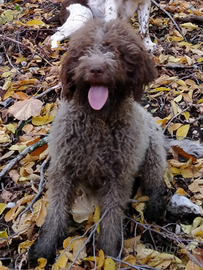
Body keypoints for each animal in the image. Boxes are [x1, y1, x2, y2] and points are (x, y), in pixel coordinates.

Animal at [28, 19, 167, 266]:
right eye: (84, 51)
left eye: (116, 51)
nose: (95, 69)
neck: (98, 122)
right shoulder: (63, 170)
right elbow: (56, 213)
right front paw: (44, 249)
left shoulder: (117, 179)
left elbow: (110, 219)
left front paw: (109, 255)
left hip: (153, 154)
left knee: (156, 184)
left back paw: (155, 207)